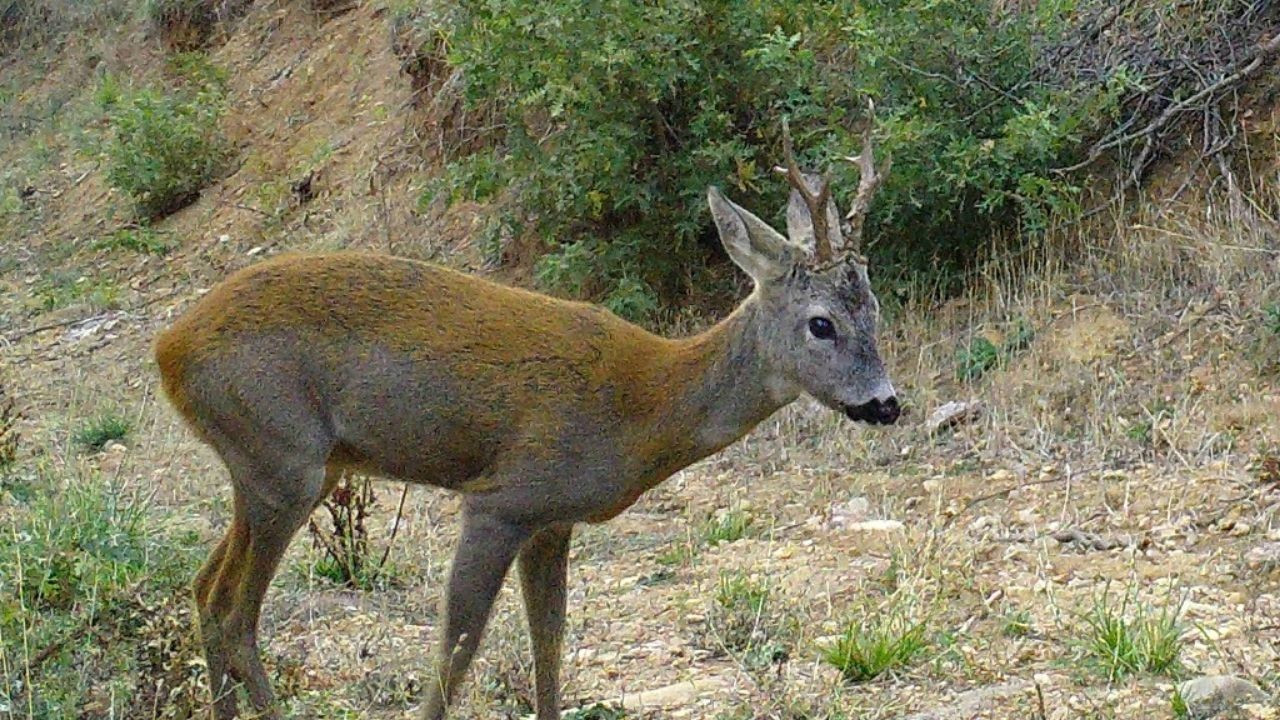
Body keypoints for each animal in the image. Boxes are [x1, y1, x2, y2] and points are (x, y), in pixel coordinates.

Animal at [157, 117, 901, 717]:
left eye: (875, 310)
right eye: (822, 323)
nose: (887, 403)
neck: (646, 403)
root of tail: (169, 349)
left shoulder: (553, 518)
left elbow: (550, 638)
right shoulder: (504, 498)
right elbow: (458, 646)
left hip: (285, 468)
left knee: (204, 592)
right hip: (283, 457)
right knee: (234, 612)